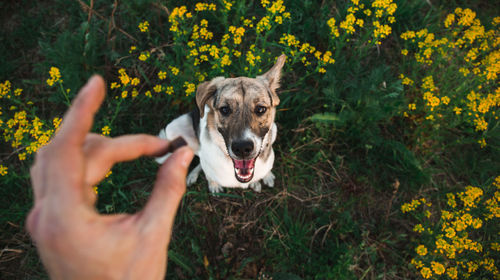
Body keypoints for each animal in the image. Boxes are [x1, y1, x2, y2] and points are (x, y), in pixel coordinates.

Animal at [156, 54, 286, 192]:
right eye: (225, 109)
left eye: (261, 109)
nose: (242, 148)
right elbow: (209, 175)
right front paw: (213, 184)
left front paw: (264, 177)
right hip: (174, 129)